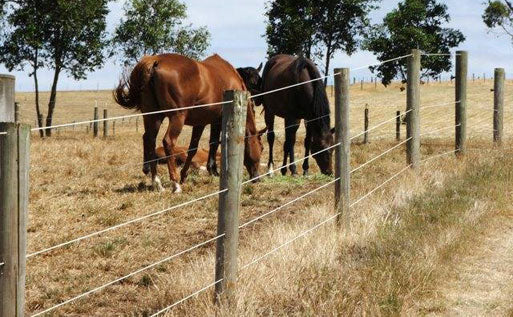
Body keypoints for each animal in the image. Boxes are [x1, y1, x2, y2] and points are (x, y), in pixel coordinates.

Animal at [113, 53, 262, 193]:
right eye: (261, 148)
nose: (256, 178)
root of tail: (155, 61)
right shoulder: (216, 122)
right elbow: (213, 144)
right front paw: (212, 171)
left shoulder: (200, 123)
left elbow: (193, 148)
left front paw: (185, 175)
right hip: (177, 117)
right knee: (168, 141)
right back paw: (175, 184)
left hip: (153, 116)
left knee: (149, 140)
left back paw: (157, 182)